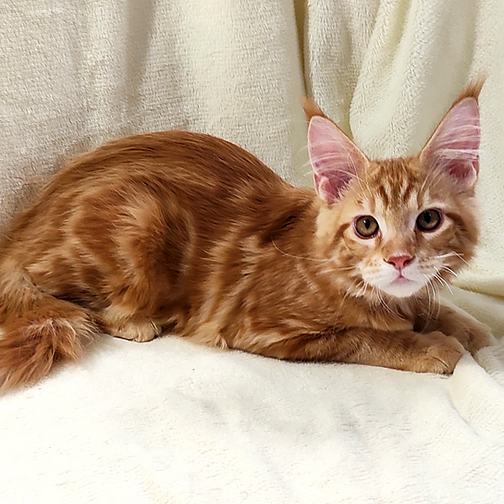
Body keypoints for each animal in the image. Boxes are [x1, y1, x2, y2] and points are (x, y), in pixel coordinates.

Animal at [0, 82, 493, 390]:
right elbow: (366, 337)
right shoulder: (262, 328)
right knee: (78, 302)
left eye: (428, 221)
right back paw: (137, 322)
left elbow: (432, 305)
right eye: (366, 226)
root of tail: (21, 230)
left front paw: (466, 326)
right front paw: (428, 345)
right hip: (141, 220)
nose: (399, 260)